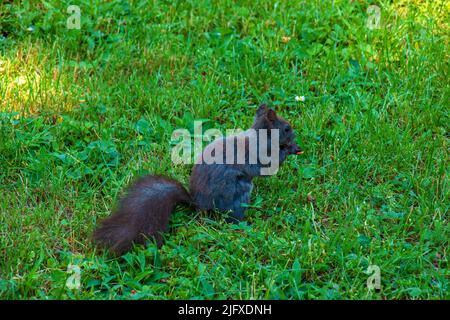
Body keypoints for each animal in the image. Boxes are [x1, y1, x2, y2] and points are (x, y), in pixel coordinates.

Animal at [93, 104, 302, 254]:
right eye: (286, 128)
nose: (295, 135)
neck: (260, 137)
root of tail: (198, 204)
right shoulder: (259, 156)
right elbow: (268, 168)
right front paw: (290, 149)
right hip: (238, 192)